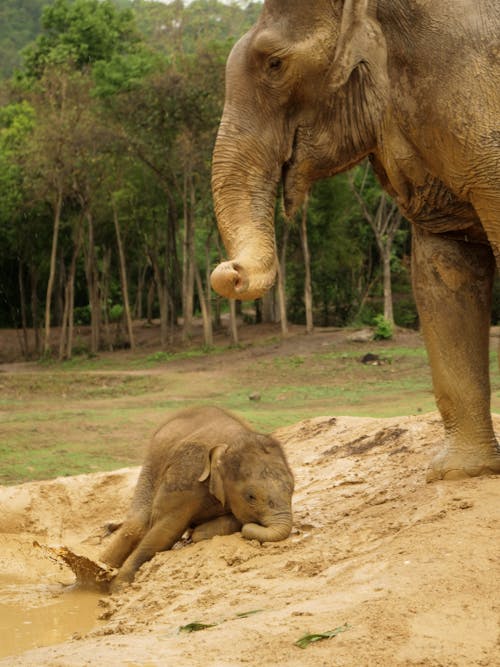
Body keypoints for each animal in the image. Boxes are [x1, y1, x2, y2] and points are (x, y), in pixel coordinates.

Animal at [100, 408, 292, 588]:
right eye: (251, 497)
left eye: (292, 489)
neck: (232, 442)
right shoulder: (186, 473)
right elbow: (165, 529)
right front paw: (117, 588)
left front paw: (200, 532)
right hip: (153, 461)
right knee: (137, 524)